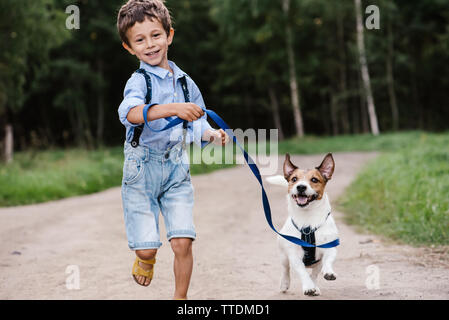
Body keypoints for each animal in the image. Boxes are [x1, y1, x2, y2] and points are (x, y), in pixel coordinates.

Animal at [264, 154, 338, 296]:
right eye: (294, 179)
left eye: (314, 179)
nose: (301, 187)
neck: (308, 220)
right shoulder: (294, 255)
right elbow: (302, 272)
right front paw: (308, 287)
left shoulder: (330, 247)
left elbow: (328, 260)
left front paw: (328, 272)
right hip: (283, 256)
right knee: (286, 270)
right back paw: (285, 284)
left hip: (317, 263)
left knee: (314, 273)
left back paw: (315, 285)